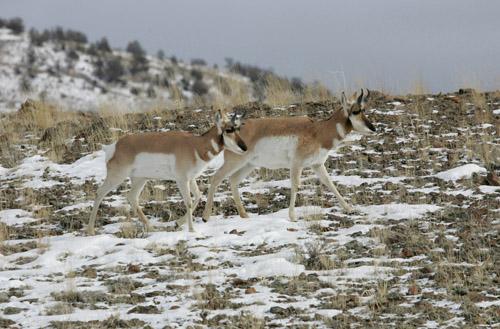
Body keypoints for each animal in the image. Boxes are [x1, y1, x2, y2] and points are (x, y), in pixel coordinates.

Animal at [89, 110, 248, 233]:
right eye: (228, 130)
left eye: (238, 128)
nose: (244, 147)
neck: (195, 146)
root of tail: (114, 146)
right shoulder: (181, 180)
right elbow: (188, 202)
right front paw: (192, 230)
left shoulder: (191, 179)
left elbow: (198, 197)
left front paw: (178, 223)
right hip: (117, 176)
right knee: (99, 193)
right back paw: (90, 230)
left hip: (140, 179)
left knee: (132, 197)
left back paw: (151, 228)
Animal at [202, 88, 376, 222]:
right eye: (355, 111)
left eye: (364, 109)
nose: (373, 128)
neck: (318, 131)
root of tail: (229, 130)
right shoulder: (296, 164)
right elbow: (295, 185)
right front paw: (292, 216)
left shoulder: (317, 165)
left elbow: (330, 183)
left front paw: (349, 208)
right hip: (235, 162)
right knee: (216, 178)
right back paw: (205, 216)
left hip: (248, 165)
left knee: (233, 180)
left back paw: (244, 214)